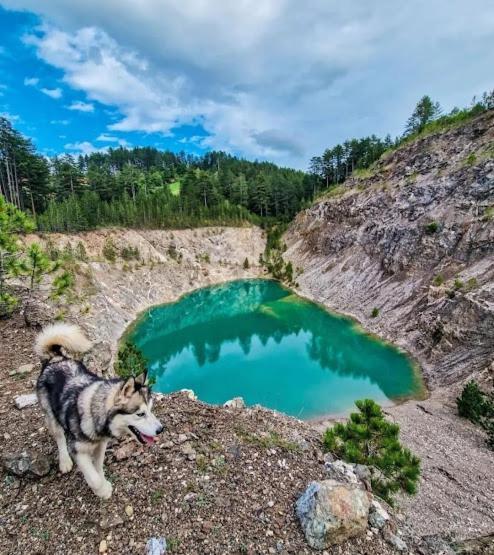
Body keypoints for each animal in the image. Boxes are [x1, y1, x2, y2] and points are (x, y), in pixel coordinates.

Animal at [37, 322, 164, 500]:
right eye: (140, 414)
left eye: (151, 410)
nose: (161, 430)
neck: (95, 414)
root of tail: (56, 358)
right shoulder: (77, 449)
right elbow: (93, 477)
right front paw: (102, 490)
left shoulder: (101, 445)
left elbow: (98, 468)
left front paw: (103, 481)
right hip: (51, 414)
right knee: (59, 437)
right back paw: (64, 461)